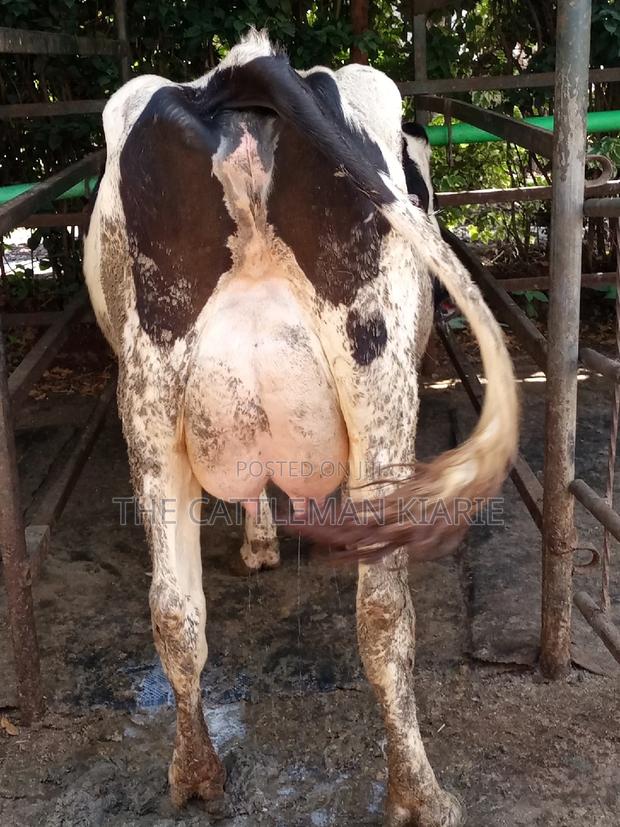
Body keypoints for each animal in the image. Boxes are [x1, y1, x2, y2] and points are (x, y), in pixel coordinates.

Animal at [84, 30, 518, 827]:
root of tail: (242, 68)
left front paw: (260, 543)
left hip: (148, 400)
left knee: (174, 611)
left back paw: (197, 773)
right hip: (380, 379)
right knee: (383, 614)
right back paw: (420, 793)